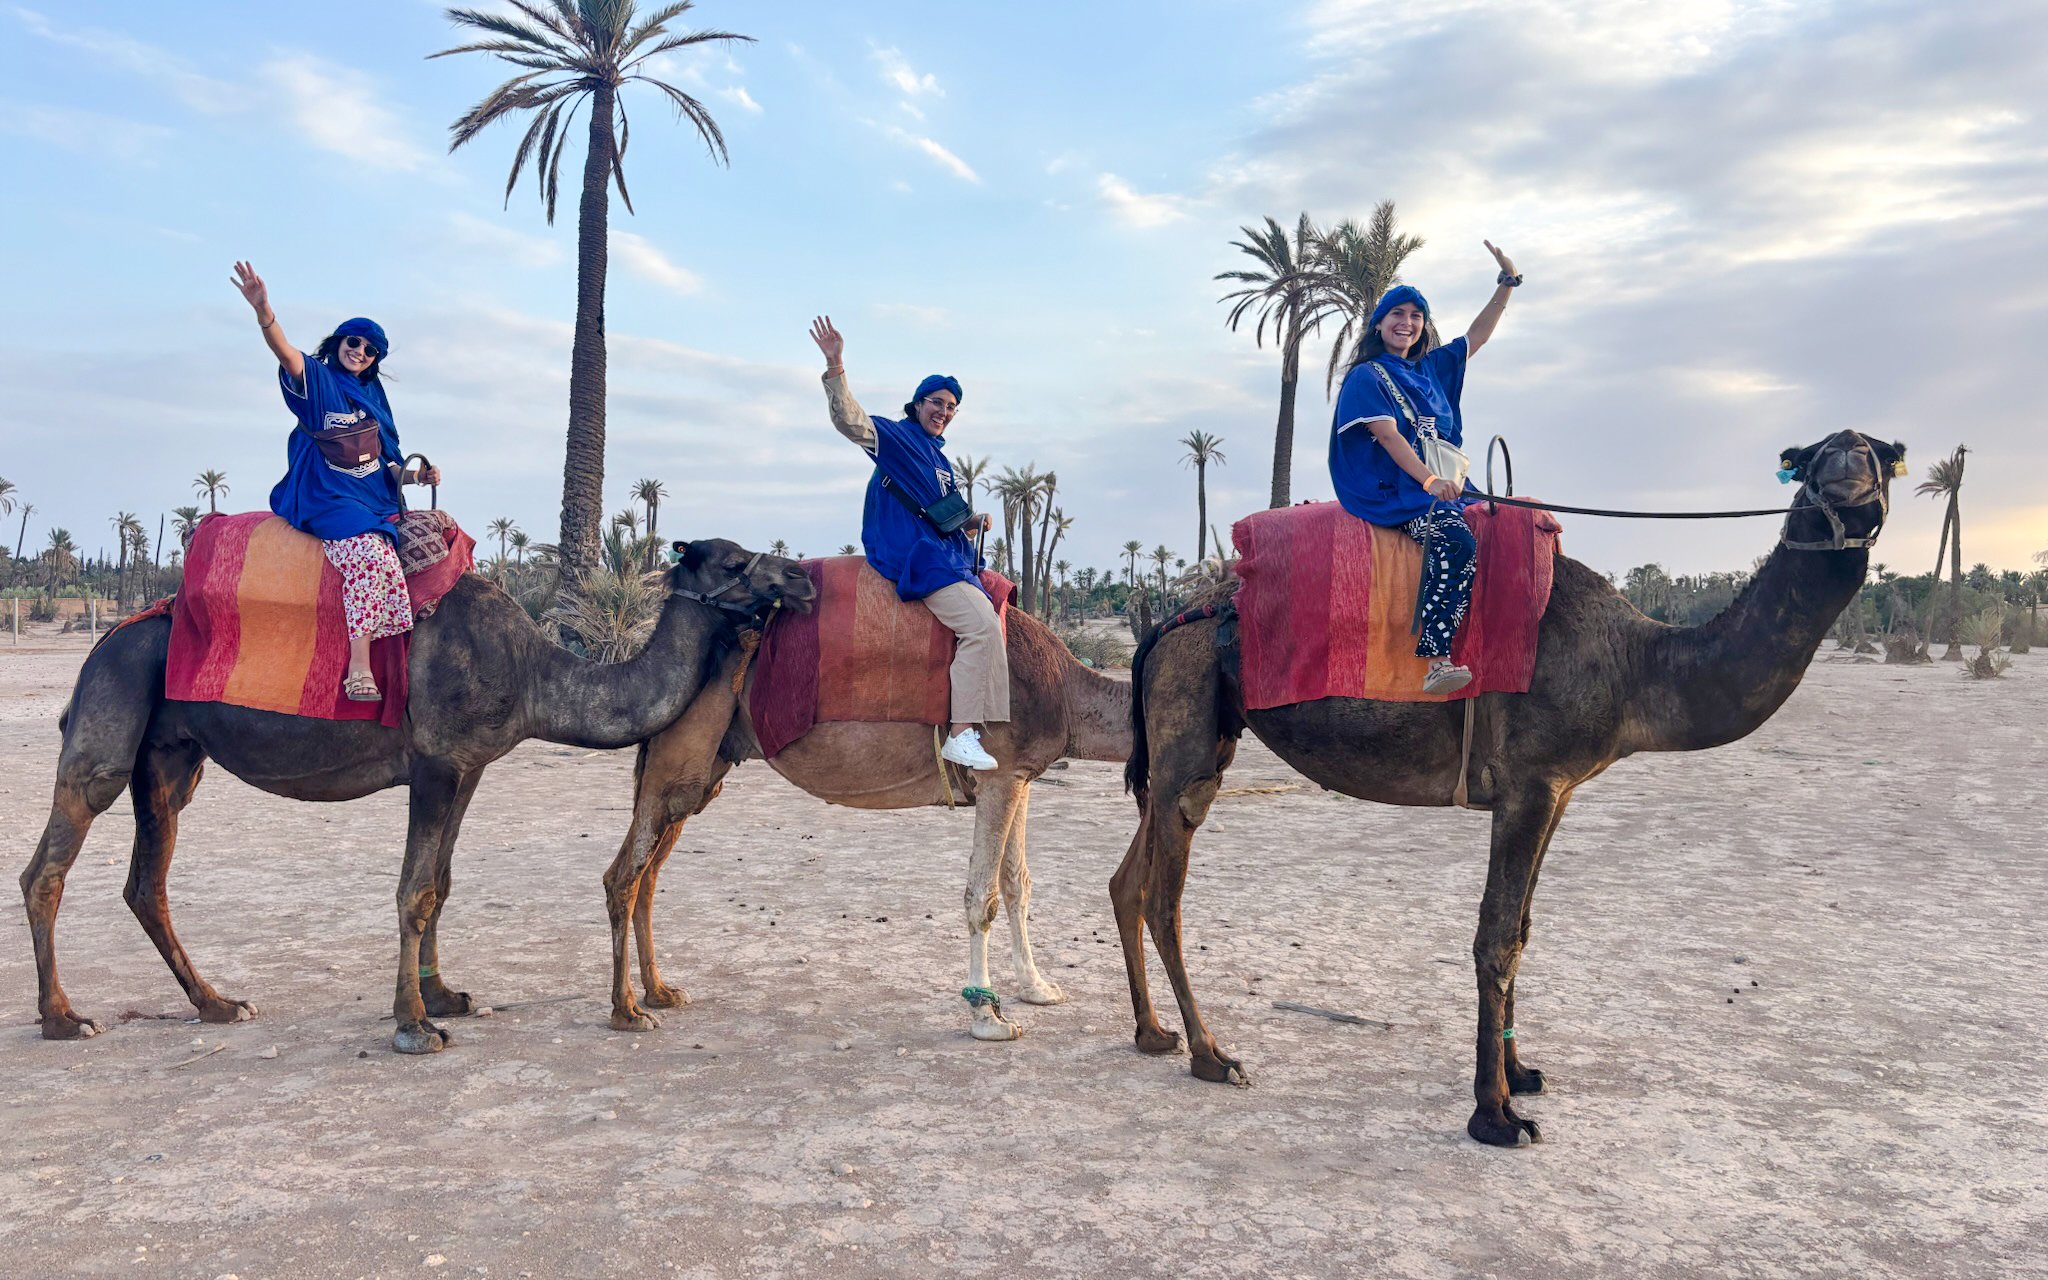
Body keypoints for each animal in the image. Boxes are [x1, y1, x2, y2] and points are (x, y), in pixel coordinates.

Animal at [21, 538, 813, 1054]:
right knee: (48, 869)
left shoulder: (468, 767)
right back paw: (64, 1019)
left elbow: (442, 883)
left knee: (146, 883)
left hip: (172, 758)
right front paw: (413, 1025)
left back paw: (218, 1004)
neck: (532, 675)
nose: (803, 576)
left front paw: (444, 998)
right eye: (735, 561)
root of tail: (100, 645)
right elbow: (414, 890)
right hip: (110, 721)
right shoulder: (435, 763)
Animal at [600, 594, 1132, 1040]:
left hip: (703, 768)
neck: (1065, 690)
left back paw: (661, 992)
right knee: (624, 875)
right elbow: (983, 896)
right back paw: (628, 1011)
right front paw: (988, 1016)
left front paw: (1038, 989)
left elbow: (1018, 882)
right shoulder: (999, 774)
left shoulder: (1019, 776)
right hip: (679, 756)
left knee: (648, 875)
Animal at [1113, 430, 1906, 1146]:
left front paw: (1521, 1074)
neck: (1635, 663)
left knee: (1131, 878)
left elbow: (1522, 929)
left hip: (1202, 730)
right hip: (1190, 707)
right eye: (1813, 457)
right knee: (1166, 893)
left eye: (1879, 451)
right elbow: (1496, 936)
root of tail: (1171, 620)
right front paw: (1494, 1115)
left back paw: (1153, 1033)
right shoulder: (1530, 782)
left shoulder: (1560, 790)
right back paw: (1212, 1054)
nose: (1848, 467)